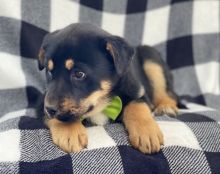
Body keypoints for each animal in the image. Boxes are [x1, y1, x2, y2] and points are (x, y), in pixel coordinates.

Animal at [37, 22, 178, 154]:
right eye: (49, 72)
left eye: (79, 74)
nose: (50, 109)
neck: (102, 104)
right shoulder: (42, 101)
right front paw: (69, 131)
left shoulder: (139, 91)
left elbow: (136, 105)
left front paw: (146, 132)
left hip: (151, 58)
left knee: (167, 94)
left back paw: (166, 107)